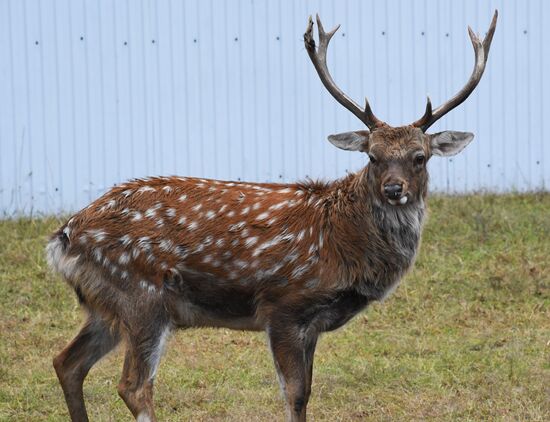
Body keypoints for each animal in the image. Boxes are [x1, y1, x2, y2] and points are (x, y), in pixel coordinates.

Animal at [47, 11, 500, 422]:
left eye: (419, 157)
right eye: (372, 156)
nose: (393, 189)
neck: (343, 244)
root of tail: (64, 237)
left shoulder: (311, 324)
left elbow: (307, 391)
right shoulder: (283, 305)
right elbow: (295, 395)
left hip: (105, 305)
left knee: (67, 362)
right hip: (142, 295)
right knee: (133, 385)